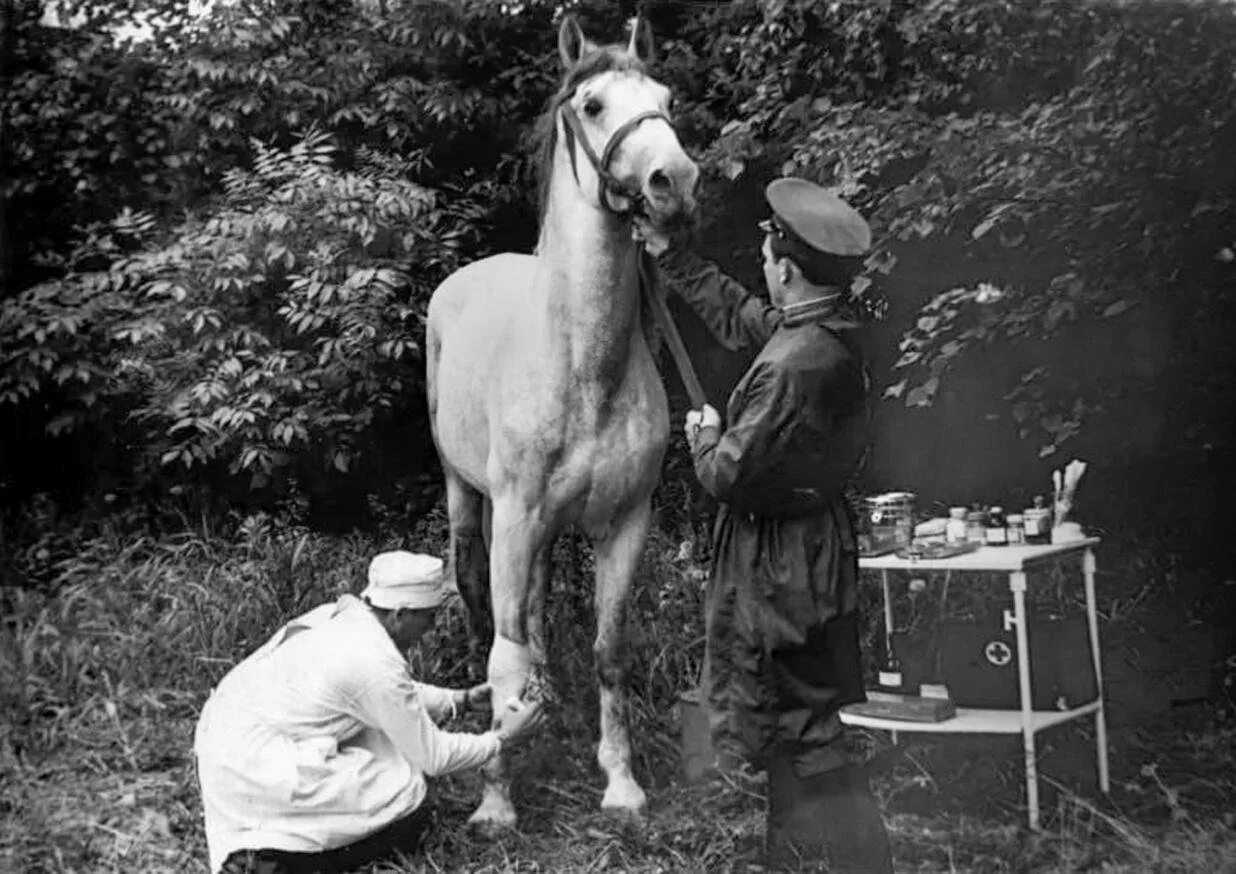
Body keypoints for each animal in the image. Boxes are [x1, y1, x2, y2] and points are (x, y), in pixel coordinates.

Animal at [425, 17, 697, 830]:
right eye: (595, 104)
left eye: (668, 99)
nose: (676, 183)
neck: (581, 364)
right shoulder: (514, 517)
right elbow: (502, 653)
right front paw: (495, 801)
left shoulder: (625, 522)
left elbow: (609, 648)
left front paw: (621, 782)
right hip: (468, 500)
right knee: (483, 611)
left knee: (536, 618)